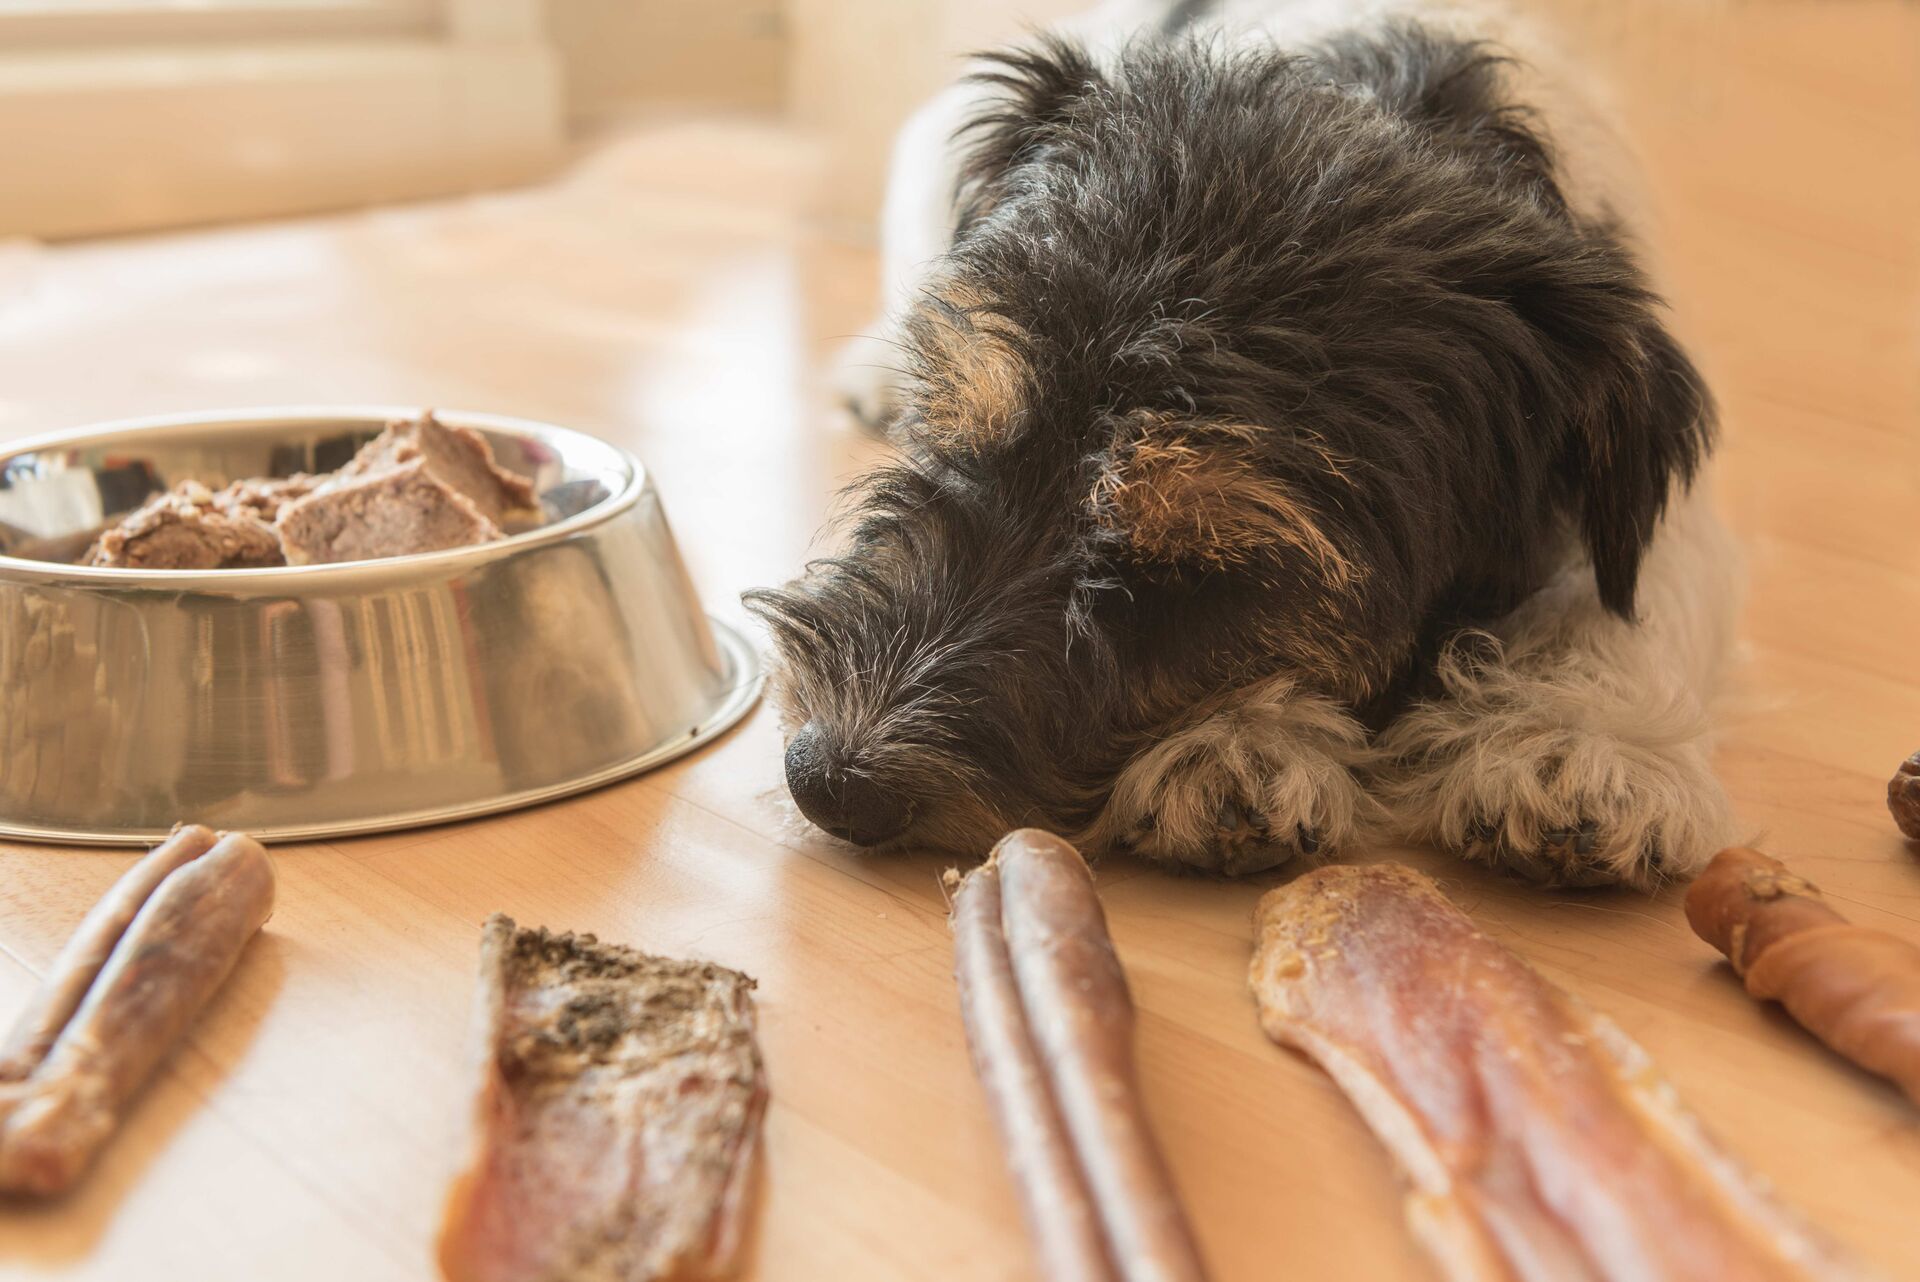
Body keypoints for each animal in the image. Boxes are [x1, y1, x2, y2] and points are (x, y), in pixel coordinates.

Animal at [748, 0, 1743, 890]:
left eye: (1204, 573)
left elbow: (1617, 602)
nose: (825, 779)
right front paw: (1247, 738)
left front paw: (1579, 739)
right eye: (954, 448)